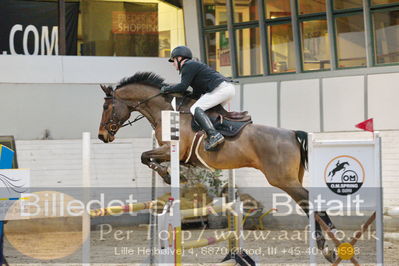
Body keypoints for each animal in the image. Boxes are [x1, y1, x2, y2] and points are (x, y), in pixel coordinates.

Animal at [97, 71, 338, 262]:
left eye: (107, 106)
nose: (102, 136)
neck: (165, 112)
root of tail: (291, 133)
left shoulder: (171, 150)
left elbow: (145, 157)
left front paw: (167, 175)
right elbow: (146, 158)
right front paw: (170, 175)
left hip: (283, 180)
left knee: (309, 202)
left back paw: (328, 244)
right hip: (291, 178)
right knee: (309, 205)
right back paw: (330, 245)